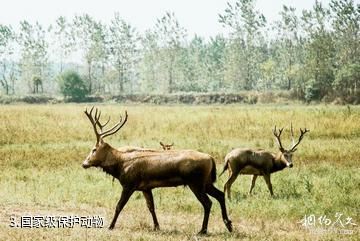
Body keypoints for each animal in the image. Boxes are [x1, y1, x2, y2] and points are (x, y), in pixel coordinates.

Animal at [82, 107, 233, 233]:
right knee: (220, 195)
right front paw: (157, 226)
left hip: (196, 182)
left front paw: (111, 226)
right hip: (206, 182)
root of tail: (211, 159)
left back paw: (203, 230)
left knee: (208, 203)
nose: (84, 163)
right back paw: (228, 224)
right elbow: (151, 207)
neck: (120, 165)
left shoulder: (129, 184)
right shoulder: (145, 187)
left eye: (94, 149)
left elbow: (119, 205)